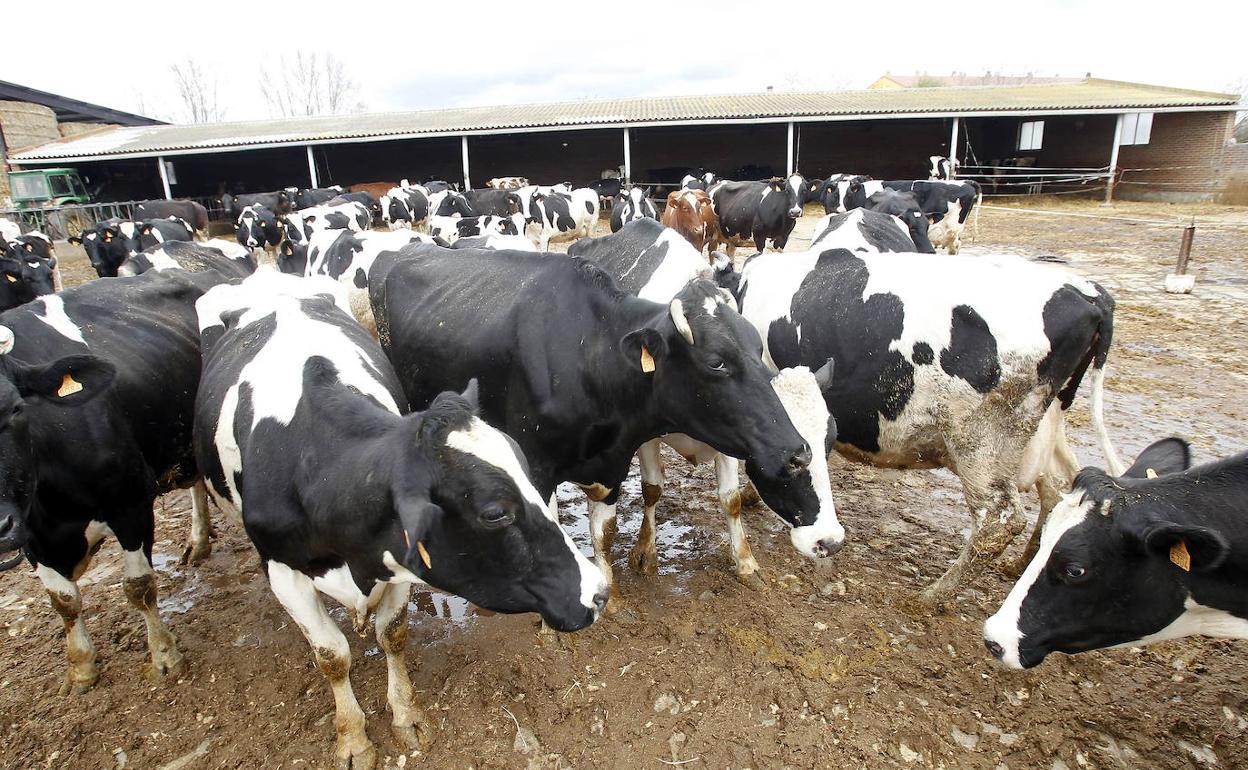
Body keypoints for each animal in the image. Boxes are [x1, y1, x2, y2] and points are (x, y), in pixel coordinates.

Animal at [0, 272, 234, 698]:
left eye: (14, 408)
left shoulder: (130, 505)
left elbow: (138, 587)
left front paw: (164, 656)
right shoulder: (28, 532)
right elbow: (62, 600)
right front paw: (81, 667)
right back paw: (199, 541)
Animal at [192, 268, 606, 763]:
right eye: (493, 513)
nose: (599, 592)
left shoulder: (399, 561)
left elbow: (391, 633)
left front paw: (407, 716)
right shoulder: (282, 570)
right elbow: (332, 655)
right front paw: (353, 737)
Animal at [366, 243, 818, 596]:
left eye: (757, 349)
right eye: (716, 362)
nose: (798, 453)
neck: (589, 354)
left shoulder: (614, 463)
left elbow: (605, 531)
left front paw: (611, 594)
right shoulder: (536, 464)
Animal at [569, 219, 843, 579]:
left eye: (829, 443)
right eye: (791, 462)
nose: (830, 540)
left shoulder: (733, 430)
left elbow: (730, 499)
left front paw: (745, 561)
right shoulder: (644, 433)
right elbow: (652, 488)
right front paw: (645, 552)